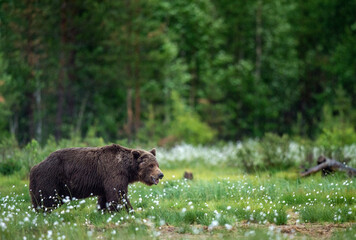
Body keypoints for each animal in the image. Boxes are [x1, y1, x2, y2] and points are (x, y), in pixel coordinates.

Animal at [29, 143, 163, 211]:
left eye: (157, 164)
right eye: (150, 165)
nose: (160, 174)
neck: (127, 169)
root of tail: (34, 167)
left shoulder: (105, 181)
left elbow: (105, 197)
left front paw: (103, 210)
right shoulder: (113, 173)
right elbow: (118, 194)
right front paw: (127, 210)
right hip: (50, 179)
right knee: (48, 200)